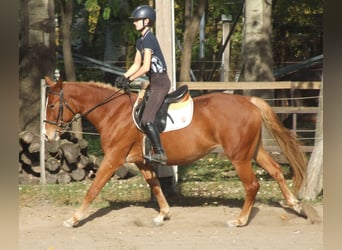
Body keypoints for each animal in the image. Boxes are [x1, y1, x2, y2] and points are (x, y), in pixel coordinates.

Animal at [44, 77, 308, 228]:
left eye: (53, 105)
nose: (48, 135)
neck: (113, 113)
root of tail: (249, 101)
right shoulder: (142, 162)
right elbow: (156, 186)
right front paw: (163, 214)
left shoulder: (113, 160)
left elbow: (92, 189)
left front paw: (74, 219)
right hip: (253, 151)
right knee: (276, 171)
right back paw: (295, 205)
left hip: (239, 157)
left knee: (252, 185)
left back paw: (241, 220)